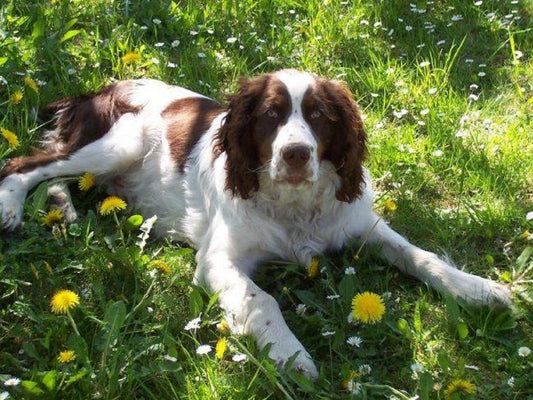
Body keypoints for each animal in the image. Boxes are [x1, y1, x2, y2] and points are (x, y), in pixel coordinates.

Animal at [0, 69, 512, 378]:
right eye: (270, 115)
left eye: (320, 116)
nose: (296, 154)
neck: (294, 206)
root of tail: (99, 88)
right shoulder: (218, 259)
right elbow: (261, 300)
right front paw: (290, 353)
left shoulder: (361, 225)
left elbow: (419, 255)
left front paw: (478, 288)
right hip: (116, 143)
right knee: (26, 164)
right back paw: (12, 208)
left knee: (59, 176)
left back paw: (63, 209)